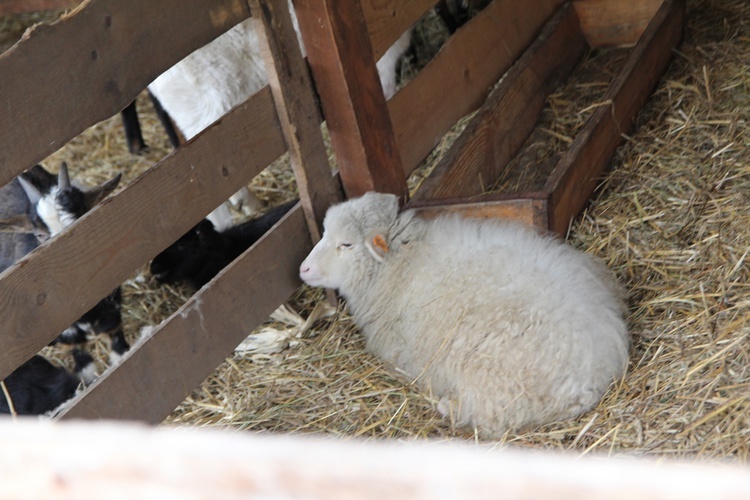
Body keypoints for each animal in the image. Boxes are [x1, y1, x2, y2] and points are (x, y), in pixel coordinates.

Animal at [300, 193, 636, 436]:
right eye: (324, 232)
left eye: (346, 244)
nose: (302, 268)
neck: (401, 261)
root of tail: (599, 373)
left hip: (493, 382)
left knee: (492, 417)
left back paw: (448, 406)